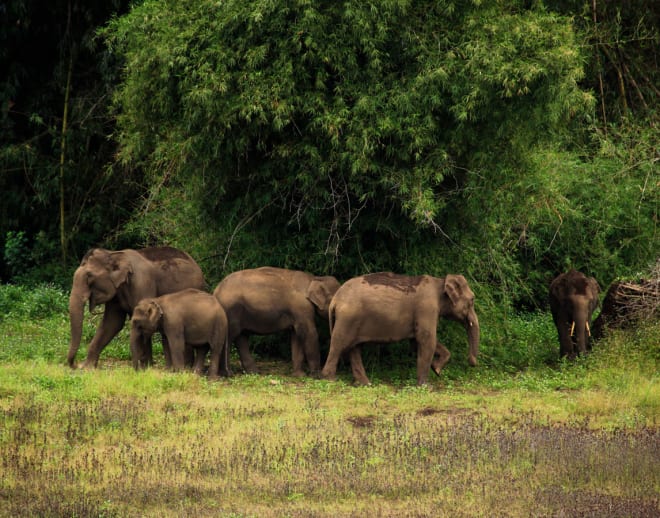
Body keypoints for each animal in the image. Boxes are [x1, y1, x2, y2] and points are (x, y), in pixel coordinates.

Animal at [67, 248, 204, 370]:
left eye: (89, 277)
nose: (75, 365)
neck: (113, 253)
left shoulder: (142, 283)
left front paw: (145, 368)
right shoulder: (116, 292)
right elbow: (112, 323)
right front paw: (87, 368)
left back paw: (186, 367)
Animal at [320, 272, 480, 386]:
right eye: (472, 300)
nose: (472, 363)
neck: (440, 282)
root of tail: (335, 299)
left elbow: (416, 342)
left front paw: (436, 369)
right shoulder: (426, 308)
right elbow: (426, 340)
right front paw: (426, 386)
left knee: (354, 348)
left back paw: (366, 384)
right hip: (347, 319)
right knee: (338, 345)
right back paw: (330, 380)